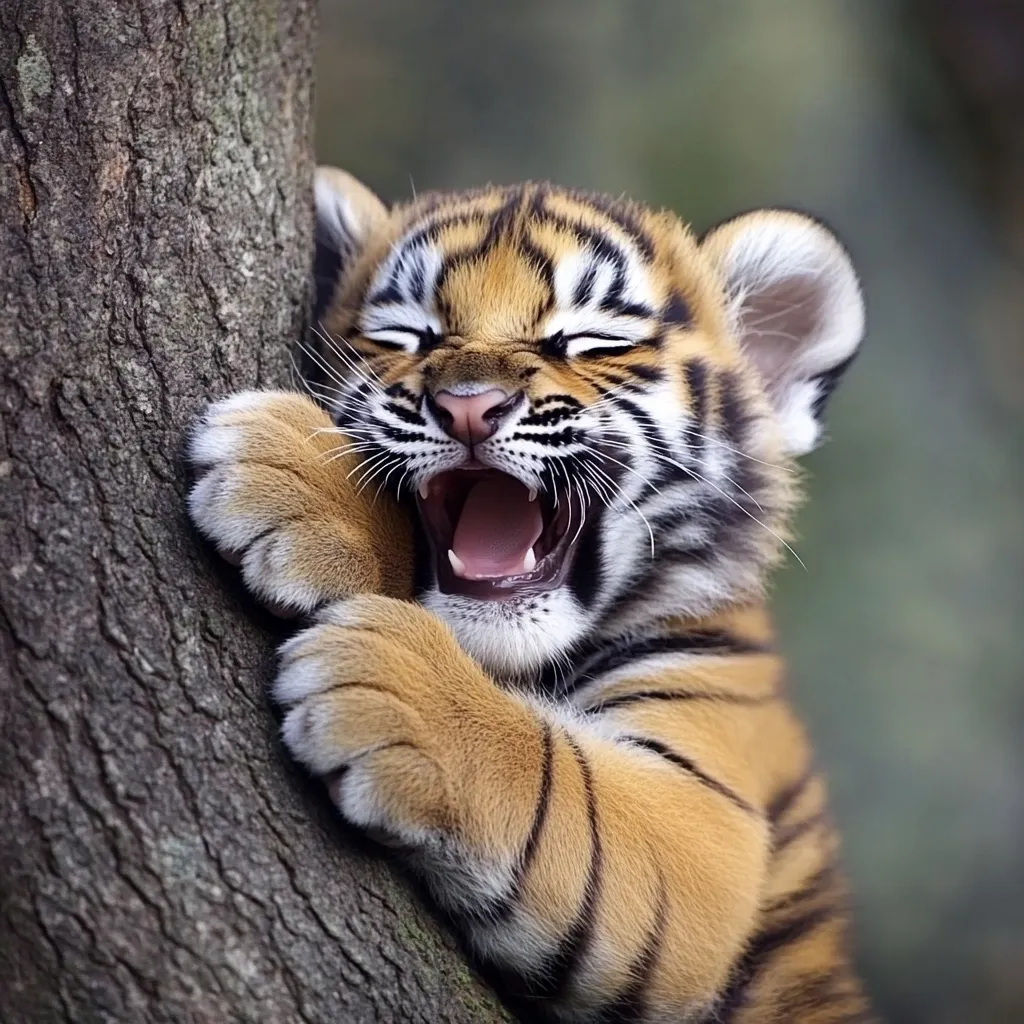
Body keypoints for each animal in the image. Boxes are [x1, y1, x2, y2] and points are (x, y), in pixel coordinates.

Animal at [187, 166, 873, 1022]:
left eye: (586, 343)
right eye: (410, 335)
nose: (467, 406)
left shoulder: (706, 824)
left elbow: (553, 780)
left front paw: (387, 683)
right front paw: (305, 483)